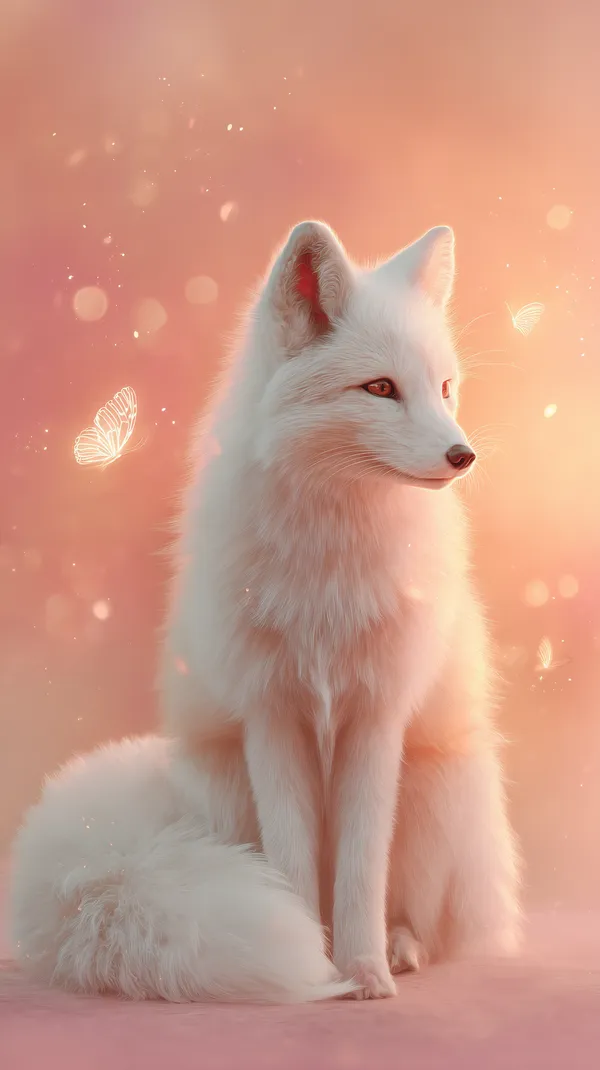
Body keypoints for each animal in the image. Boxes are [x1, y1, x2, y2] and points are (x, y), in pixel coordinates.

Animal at [10, 221, 520, 1003]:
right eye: (380, 388)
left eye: (444, 388)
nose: (462, 454)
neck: (329, 571)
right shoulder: (272, 714)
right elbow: (293, 867)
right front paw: (315, 963)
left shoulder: (377, 714)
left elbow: (361, 869)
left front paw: (364, 971)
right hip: (225, 790)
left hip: (438, 794)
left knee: (426, 918)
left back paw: (399, 948)